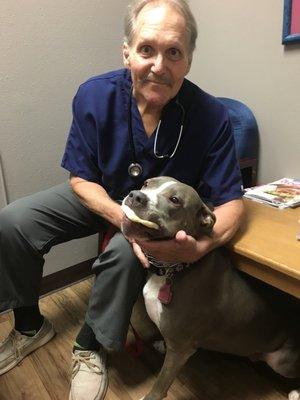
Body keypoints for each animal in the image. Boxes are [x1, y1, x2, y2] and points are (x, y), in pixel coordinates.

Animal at [120, 177, 300, 400]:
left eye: (175, 200)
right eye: (146, 183)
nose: (136, 195)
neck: (171, 270)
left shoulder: (180, 351)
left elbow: (161, 383)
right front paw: (162, 343)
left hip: (281, 361)